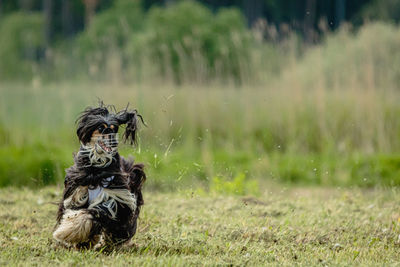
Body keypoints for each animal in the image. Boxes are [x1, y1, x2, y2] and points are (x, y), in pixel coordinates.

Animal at [53, 102, 146, 249]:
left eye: (114, 129)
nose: (110, 136)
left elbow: (94, 213)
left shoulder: (115, 198)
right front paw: (76, 237)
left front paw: (67, 233)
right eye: (101, 127)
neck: (96, 171)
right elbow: (76, 212)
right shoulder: (77, 193)